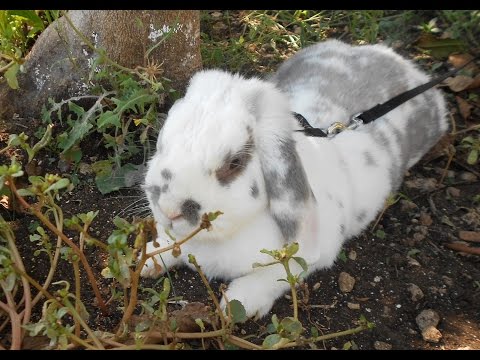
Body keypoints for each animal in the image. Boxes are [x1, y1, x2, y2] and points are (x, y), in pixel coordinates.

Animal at [141, 39, 448, 318]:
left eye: (234, 163)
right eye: (161, 143)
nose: (169, 209)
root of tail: (398, 61)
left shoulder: (306, 259)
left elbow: (276, 274)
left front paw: (237, 304)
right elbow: (169, 246)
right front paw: (145, 262)